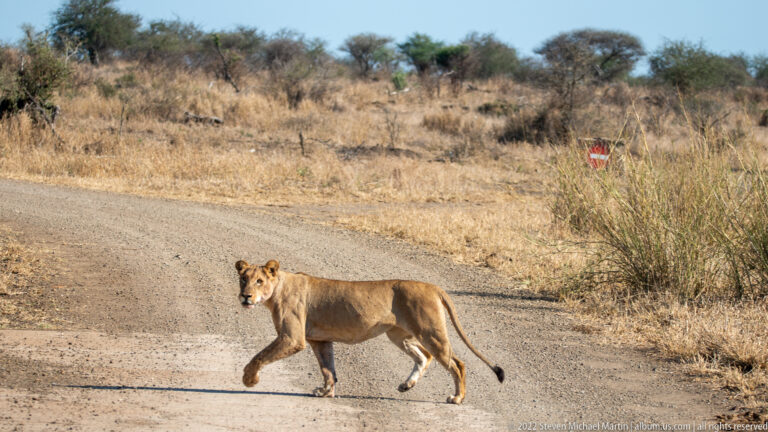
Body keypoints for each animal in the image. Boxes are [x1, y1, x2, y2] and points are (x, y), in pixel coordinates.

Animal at [234, 259, 504, 404]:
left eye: (259, 281)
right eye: (243, 279)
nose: (245, 296)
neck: (276, 290)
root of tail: (433, 286)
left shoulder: (292, 338)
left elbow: (258, 356)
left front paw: (249, 380)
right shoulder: (319, 340)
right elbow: (328, 369)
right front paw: (325, 392)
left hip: (431, 331)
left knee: (457, 363)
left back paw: (457, 398)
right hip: (397, 334)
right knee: (424, 356)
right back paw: (406, 385)